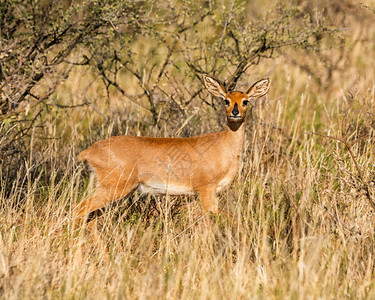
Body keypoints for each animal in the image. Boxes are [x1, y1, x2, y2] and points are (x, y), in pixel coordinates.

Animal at [75, 74, 272, 224]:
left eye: (245, 101)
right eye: (226, 100)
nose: (235, 113)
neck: (224, 146)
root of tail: (88, 152)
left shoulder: (214, 193)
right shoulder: (205, 190)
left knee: (90, 217)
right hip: (112, 189)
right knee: (79, 210)